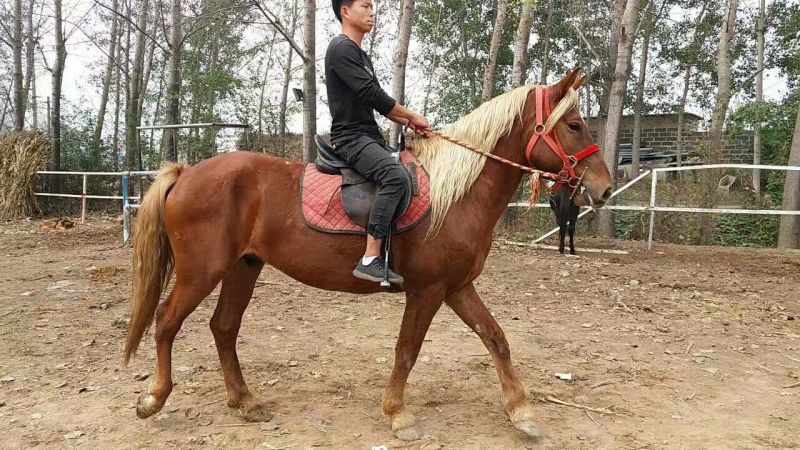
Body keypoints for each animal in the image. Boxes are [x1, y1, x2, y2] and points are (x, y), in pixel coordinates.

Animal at [123, 68, 612, 440]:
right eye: (574, 125)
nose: (605, 188)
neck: (455, 194)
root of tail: (187, 172)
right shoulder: (428, 290)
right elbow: (407, 349)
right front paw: (397, 413)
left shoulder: (457, 287)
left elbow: (496, 338)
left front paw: (521, 411)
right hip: (201, 271)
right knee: (166, 321)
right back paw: (154, 397)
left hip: (243, 268)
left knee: (223, 328)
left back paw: (245, 401)